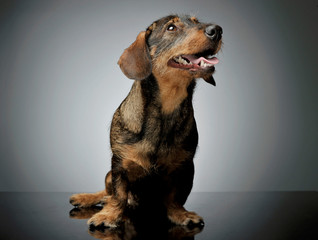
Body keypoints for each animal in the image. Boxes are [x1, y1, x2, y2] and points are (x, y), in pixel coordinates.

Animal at [70, 13, 224, 229]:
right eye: (171, 28)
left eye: (196, 21)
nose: (216, 30)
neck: (167, 107)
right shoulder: (119, 165)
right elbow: (118, 194)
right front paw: (109, 215)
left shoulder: (185, 166)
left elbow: (175, 196)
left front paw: (180, 213)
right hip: (109, 175)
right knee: (107, 192)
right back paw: (87, 198)